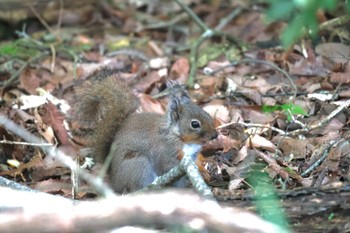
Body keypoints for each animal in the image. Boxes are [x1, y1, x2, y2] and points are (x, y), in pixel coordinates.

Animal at [71, 68, 217, 194]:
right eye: (195, 124)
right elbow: (168, 166)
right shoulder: (164, 152)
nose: (215, 135)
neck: (178, 136)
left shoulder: (194, 153)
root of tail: (115, 180)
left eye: (207, 113)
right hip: (139, 166)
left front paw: (204, 169)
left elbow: (197, 161)